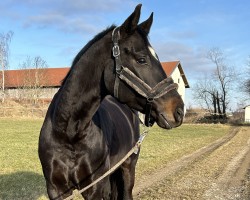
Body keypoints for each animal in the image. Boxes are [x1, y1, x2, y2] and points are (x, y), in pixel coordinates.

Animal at [38, 3, 184, 199]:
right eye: (141, 59)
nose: (179, 110)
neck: (68, 133)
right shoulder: (56, 190)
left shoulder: (96, 188)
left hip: (128, 167)